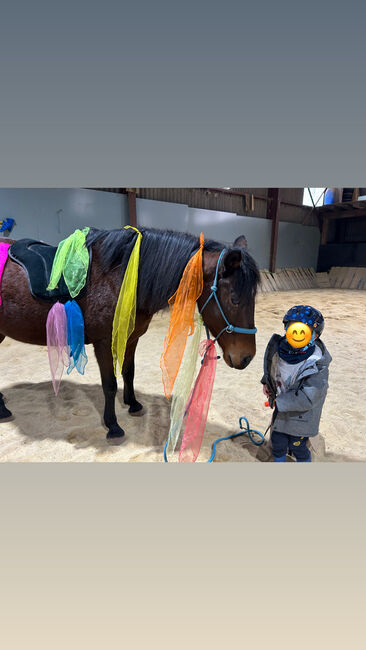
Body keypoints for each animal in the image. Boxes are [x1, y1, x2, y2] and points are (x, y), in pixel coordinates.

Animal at [0, 225, 260, 442]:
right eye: (234, 299)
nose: (247, 357)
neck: (124, 277)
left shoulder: (131, 338)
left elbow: (129, 372)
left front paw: (133, 403)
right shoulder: (104, 343)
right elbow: (109, 384)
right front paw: (113, 425)